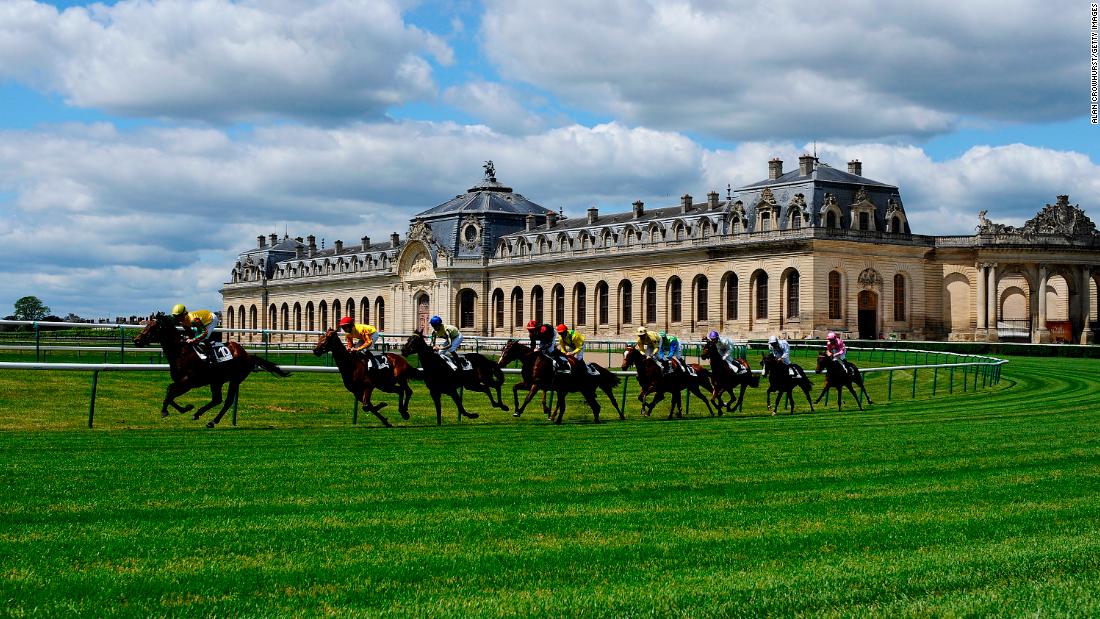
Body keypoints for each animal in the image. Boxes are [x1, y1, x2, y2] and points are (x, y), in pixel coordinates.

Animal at [132, 312, 292, 428]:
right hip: (216, 381)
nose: (136, 340)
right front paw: (186, 408)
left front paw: (168, 410)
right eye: (146, 325)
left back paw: (212, 421)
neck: (181, 352)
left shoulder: (188, 382)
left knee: (227, 401)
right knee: (217, 399)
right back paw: (198, 414)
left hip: (235, 380)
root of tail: (247, 355)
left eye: (153, 327)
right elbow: (169, 393)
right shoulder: (182, 382)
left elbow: (170, 392)